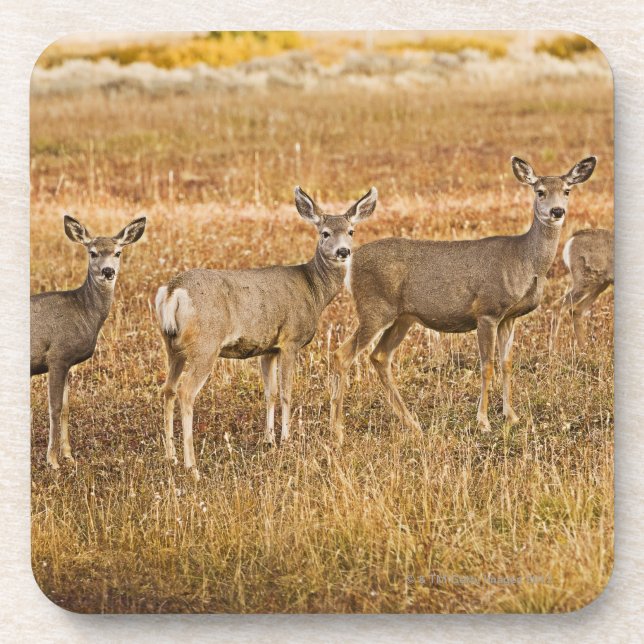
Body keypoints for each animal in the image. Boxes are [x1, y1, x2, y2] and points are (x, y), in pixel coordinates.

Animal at [31, 215, 147, 469]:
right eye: (92, 253)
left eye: (118, 252)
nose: (108, 271)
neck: (82, 311)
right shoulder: (57, 356)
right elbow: (54, 408)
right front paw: (52, 461)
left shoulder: (67, 363)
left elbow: (66, 407)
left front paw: (68, 455)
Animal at [155, 186, 377, 480]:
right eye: (325, 233)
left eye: (351, 231)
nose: (343, 251)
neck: (313, 290)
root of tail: (173, 291)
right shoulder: (290, 340)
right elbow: (286, 392)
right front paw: (286, 439)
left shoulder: (268, 348)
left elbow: (269, 393)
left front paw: (269, 439)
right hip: (206, 344)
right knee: (185, 392)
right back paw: (191, 465)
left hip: (172, 346)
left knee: (168, 389)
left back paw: (170, 456)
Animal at [329, 156, 596, 442]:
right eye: (540, 191)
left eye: (567, 191)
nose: (557, 211)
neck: (525, 260)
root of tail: (352, 263)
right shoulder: (487, 311)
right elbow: (487, 366)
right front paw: (484, 421)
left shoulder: (509, 317)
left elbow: (507, 363)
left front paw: (512, 417)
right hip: (374, 308)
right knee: (342, 354)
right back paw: (338, 430)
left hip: (402, 317)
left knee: (379, 356)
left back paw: (412, 424)